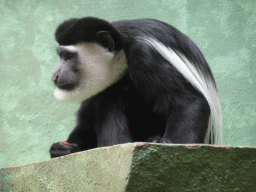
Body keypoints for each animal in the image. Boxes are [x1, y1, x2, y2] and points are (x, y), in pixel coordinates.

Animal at [49, 16, 222, 158]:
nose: (55, 75)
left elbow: (189, 101)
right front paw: (63, 149)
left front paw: (172, 145)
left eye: (69, 56)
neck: (123, 50)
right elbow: (87, 120)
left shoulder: (145, 55)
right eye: (61, 56)